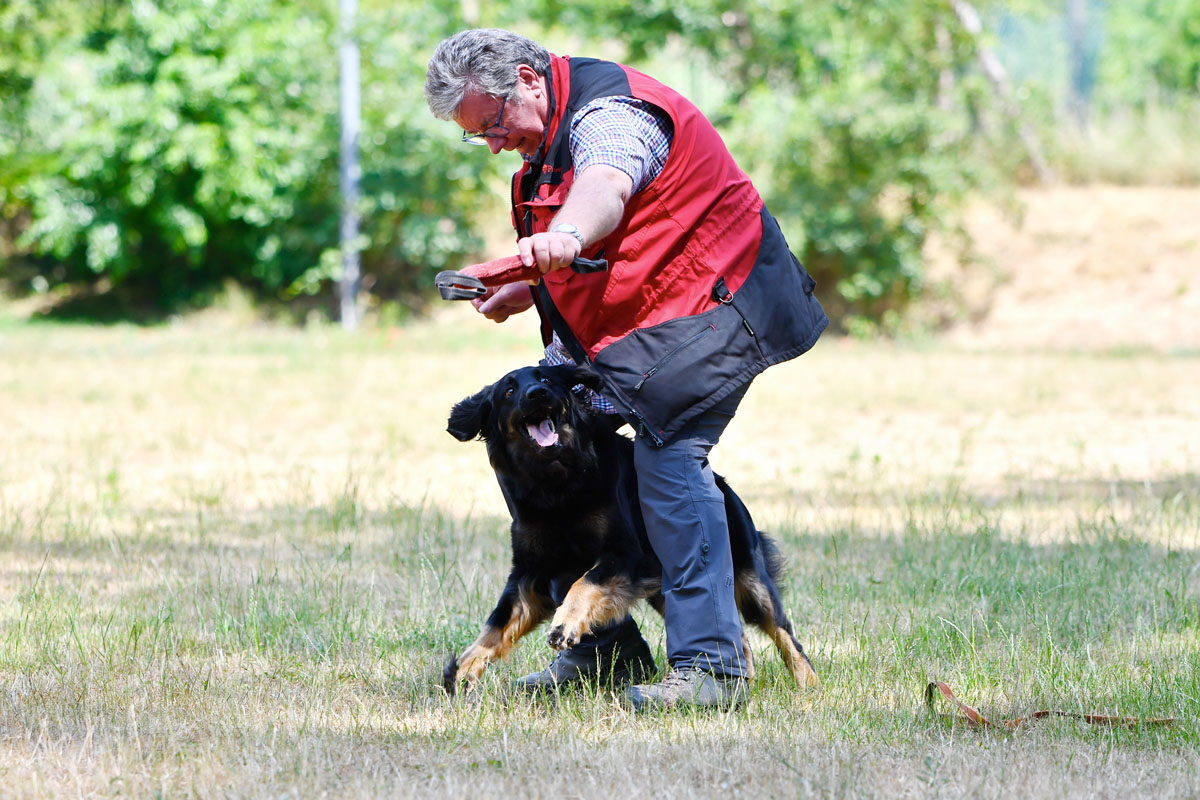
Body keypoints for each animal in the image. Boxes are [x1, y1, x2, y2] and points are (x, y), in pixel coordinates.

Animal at [446, 362, 820, 695]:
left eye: (546, 379)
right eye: (509, 391)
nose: (537, 394)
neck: (556, 481)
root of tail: (722, 486)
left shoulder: (624, 554)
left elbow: (585, 582)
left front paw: (565, 624)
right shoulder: (532, 572)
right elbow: (496, 625)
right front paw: (461, 671)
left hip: (750, 580)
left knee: (783, 632)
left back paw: (808, 684)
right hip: (666, 591)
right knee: (737, 636)